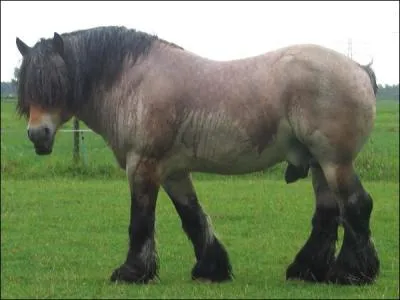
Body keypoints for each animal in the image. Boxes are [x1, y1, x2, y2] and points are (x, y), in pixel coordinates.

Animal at [15, 25, 380, 284]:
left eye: (55, 84)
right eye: (27, 86)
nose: (37, 134)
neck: (133, 81)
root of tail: (359, 69)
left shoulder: (142, 166)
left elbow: (141, 220)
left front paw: (132, 272)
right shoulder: (173, 172)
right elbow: (191, 215)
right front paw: (211, 268)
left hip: (335, 162)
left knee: (356, 206)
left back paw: (350, 273)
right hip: (320, 165)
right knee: (328, 214)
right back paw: (307, 270)